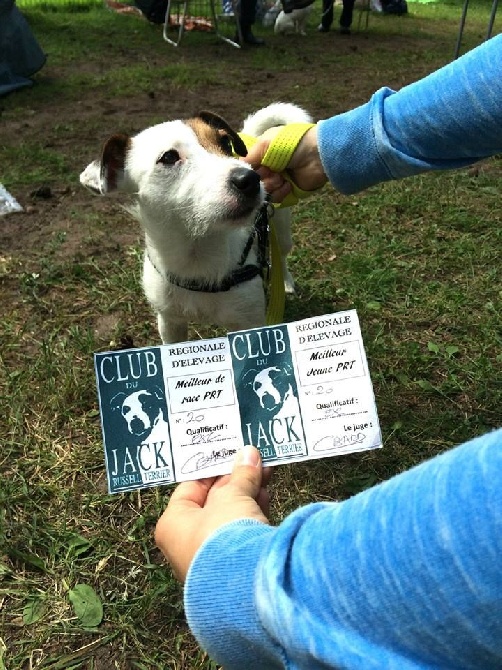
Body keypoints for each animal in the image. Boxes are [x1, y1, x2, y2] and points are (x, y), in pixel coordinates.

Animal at [80, 105, 312, 346]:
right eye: (169, 157)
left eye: (225, 143)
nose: (250, 179)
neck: (196, 255)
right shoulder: (169, 323)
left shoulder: (250, 323)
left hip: (281, 230)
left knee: (280, 256)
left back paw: (285, 283)